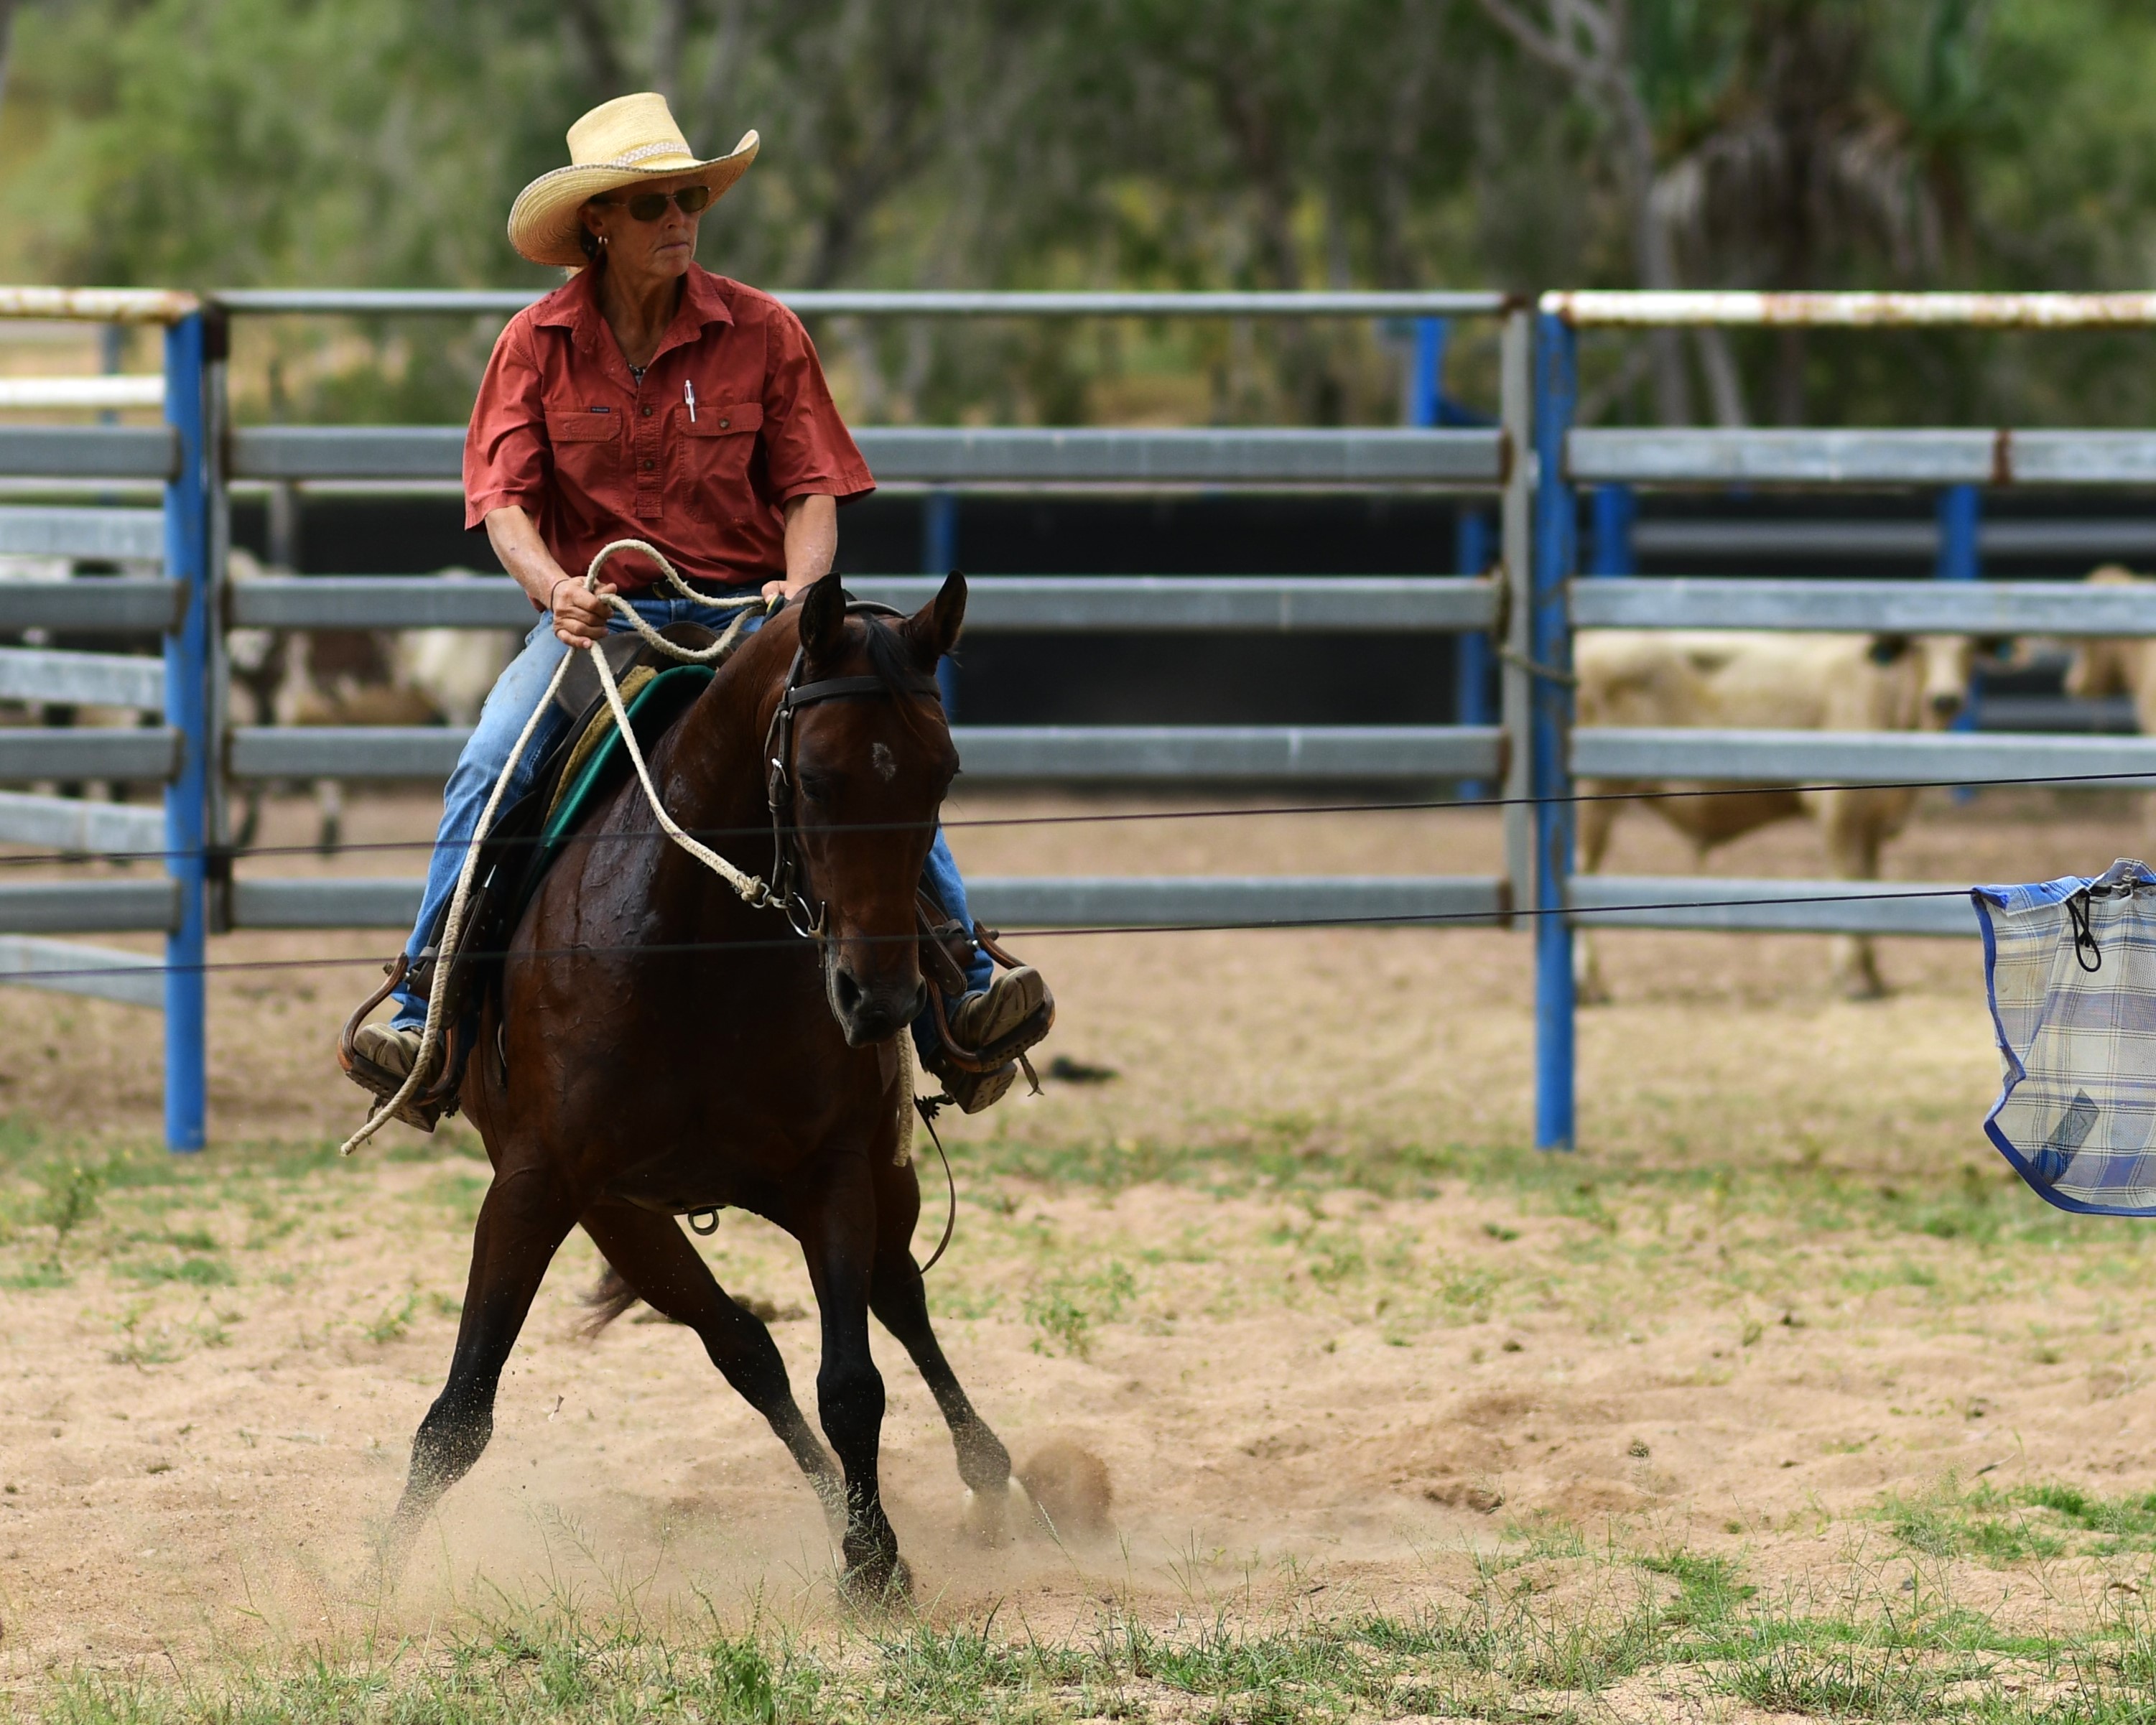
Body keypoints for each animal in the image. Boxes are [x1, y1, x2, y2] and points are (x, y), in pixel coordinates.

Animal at [379, 569, 1017, 1598]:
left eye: (943, 774)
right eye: (817, 776)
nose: (878, 996)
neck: (690, 945)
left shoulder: (834, 1167)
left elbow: (852, 1382)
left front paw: (875, 1563)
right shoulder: (539, 1182)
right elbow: (459, 1410)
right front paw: (373, 1580)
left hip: (875, 1177)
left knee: (895, 1296)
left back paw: (986, 1480)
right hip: (629, 1217)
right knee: (745, 1345)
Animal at [1573, 629, 1989, 1003]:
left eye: (1970, 647)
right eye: (1919, 647)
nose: (1945, 699)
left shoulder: (1871, 820)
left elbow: (1872, 882)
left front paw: (1872, 975)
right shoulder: (1838, 808)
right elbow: (1849, 879)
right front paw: (1852, 979)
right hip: (1593, 798)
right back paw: (1587, 985)